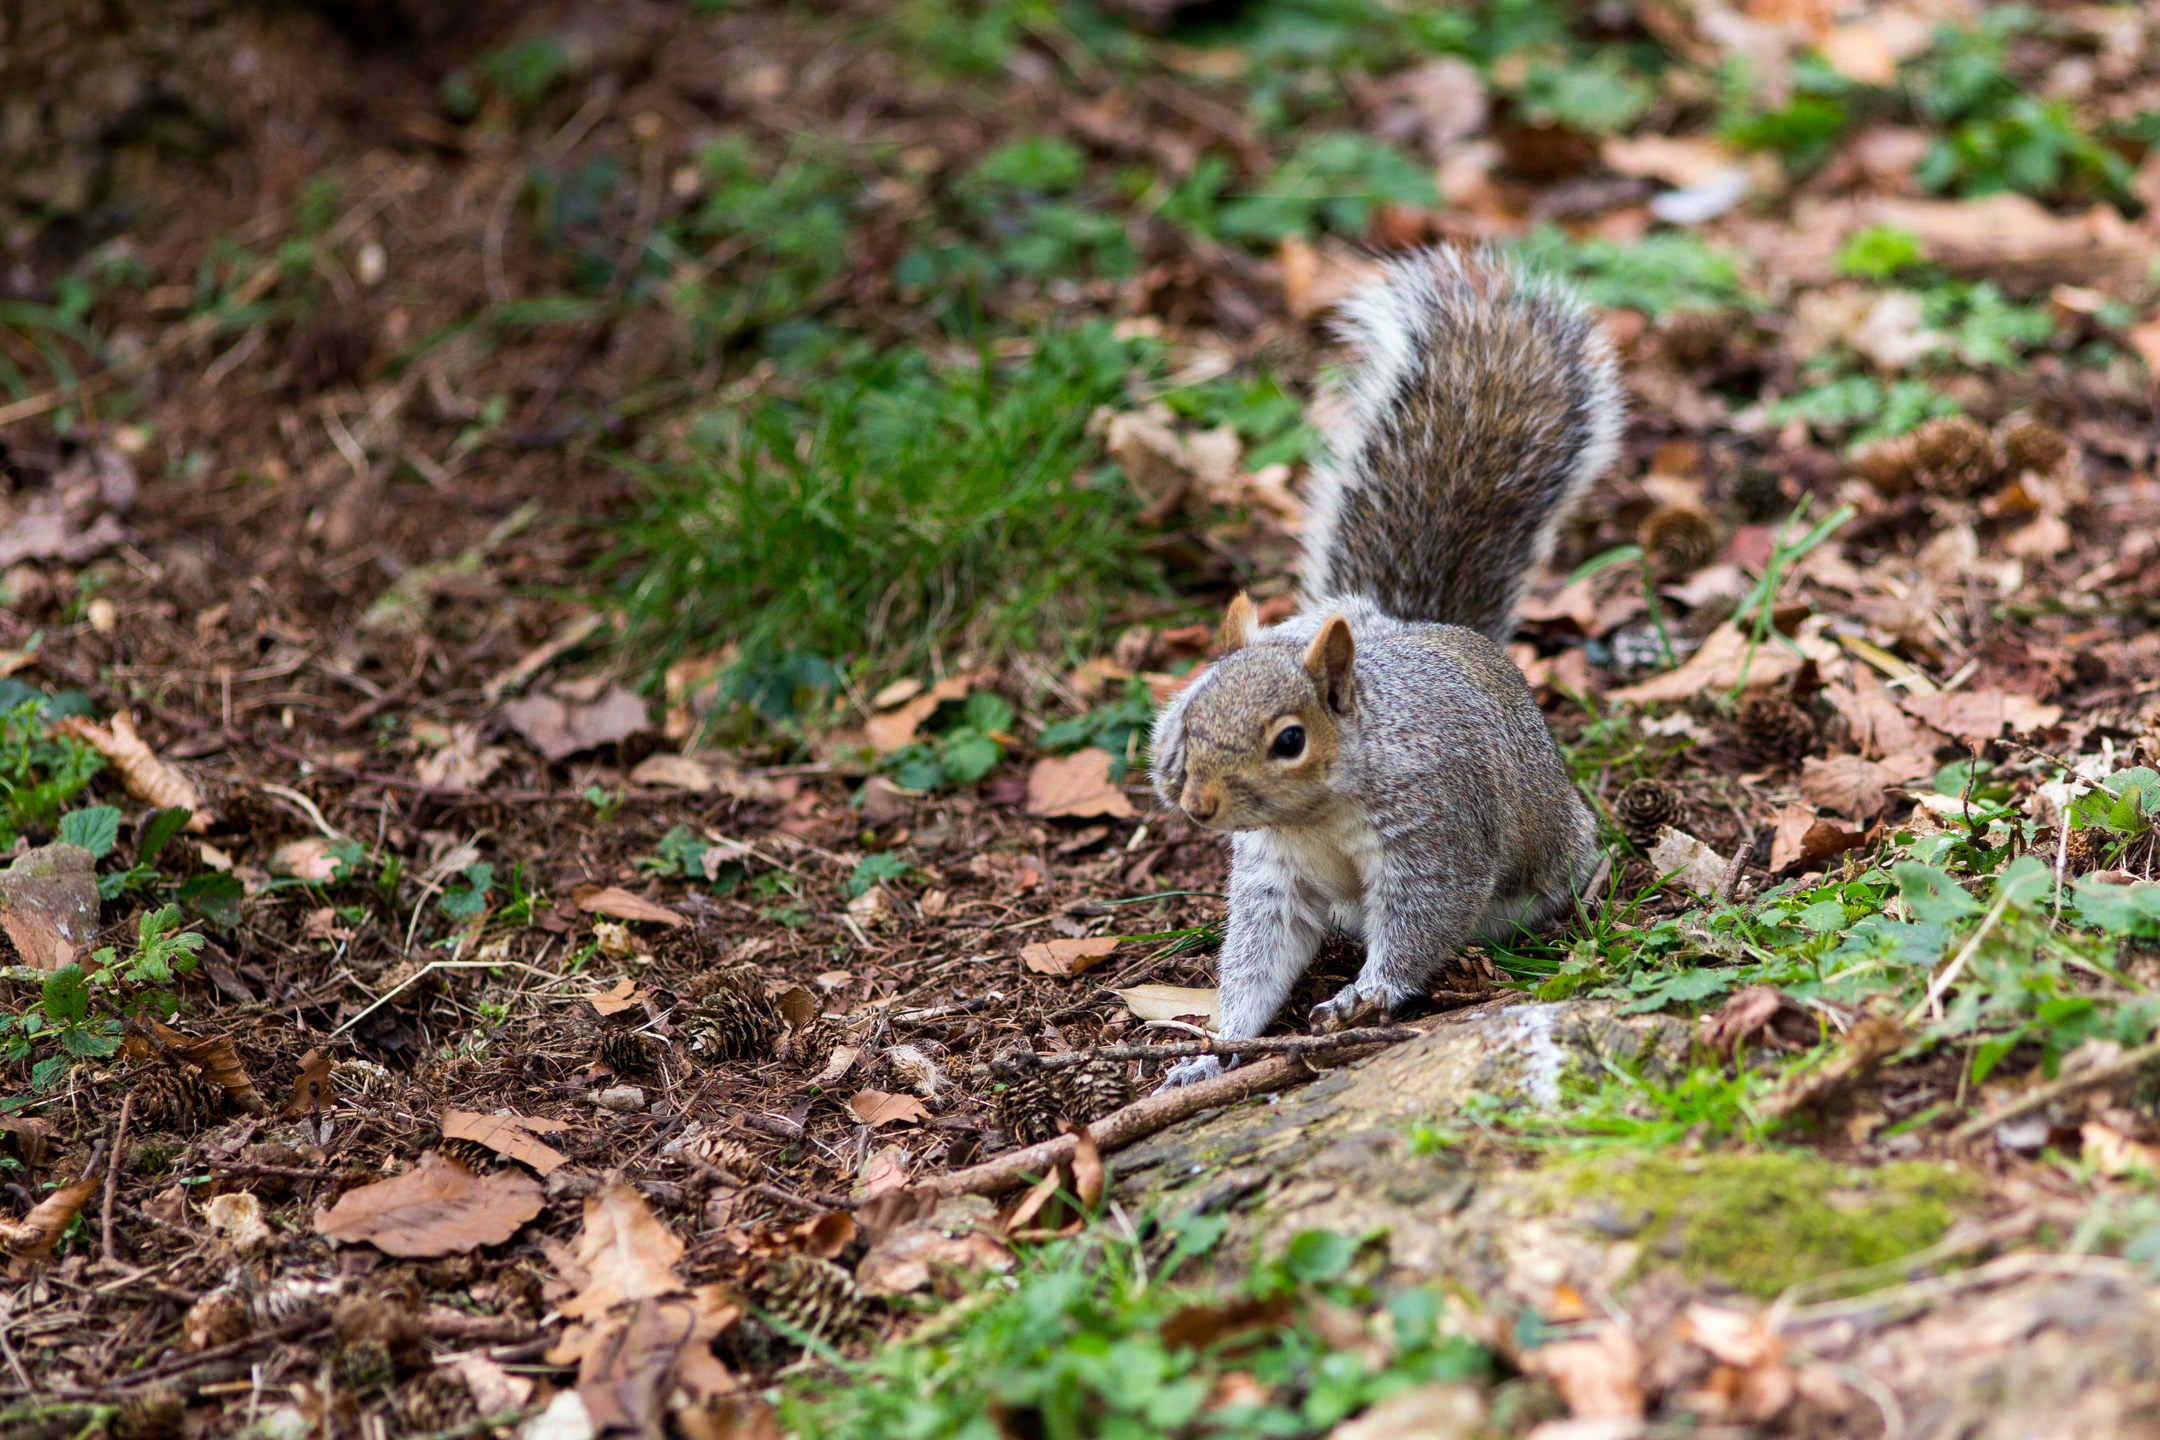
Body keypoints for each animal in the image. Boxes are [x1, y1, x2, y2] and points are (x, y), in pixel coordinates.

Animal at [1148, 246, 1623, 1089]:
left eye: (1290, 740)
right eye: (1185, 719)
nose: (1199, 804)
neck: (1313, 816)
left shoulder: (1437, 829)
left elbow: (1420, 919)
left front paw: (1363, 996)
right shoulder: (1274, 876)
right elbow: (1258, 959)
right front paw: (1212, 1053)